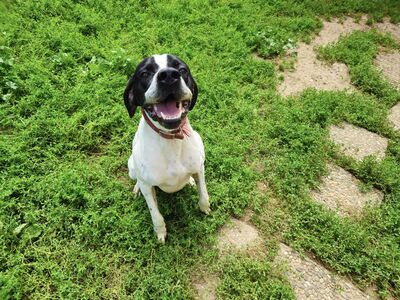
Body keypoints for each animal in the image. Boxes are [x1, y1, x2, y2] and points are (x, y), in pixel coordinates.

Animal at [123, 54, 211, 244]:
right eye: (145, 73)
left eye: (182, 69)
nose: (169, 76)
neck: (171, 139)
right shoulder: (148, 187)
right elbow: (156, 215)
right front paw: (160, 232)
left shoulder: (199, 167)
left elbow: (204, 194)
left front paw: (204, 207)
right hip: (131, 166)